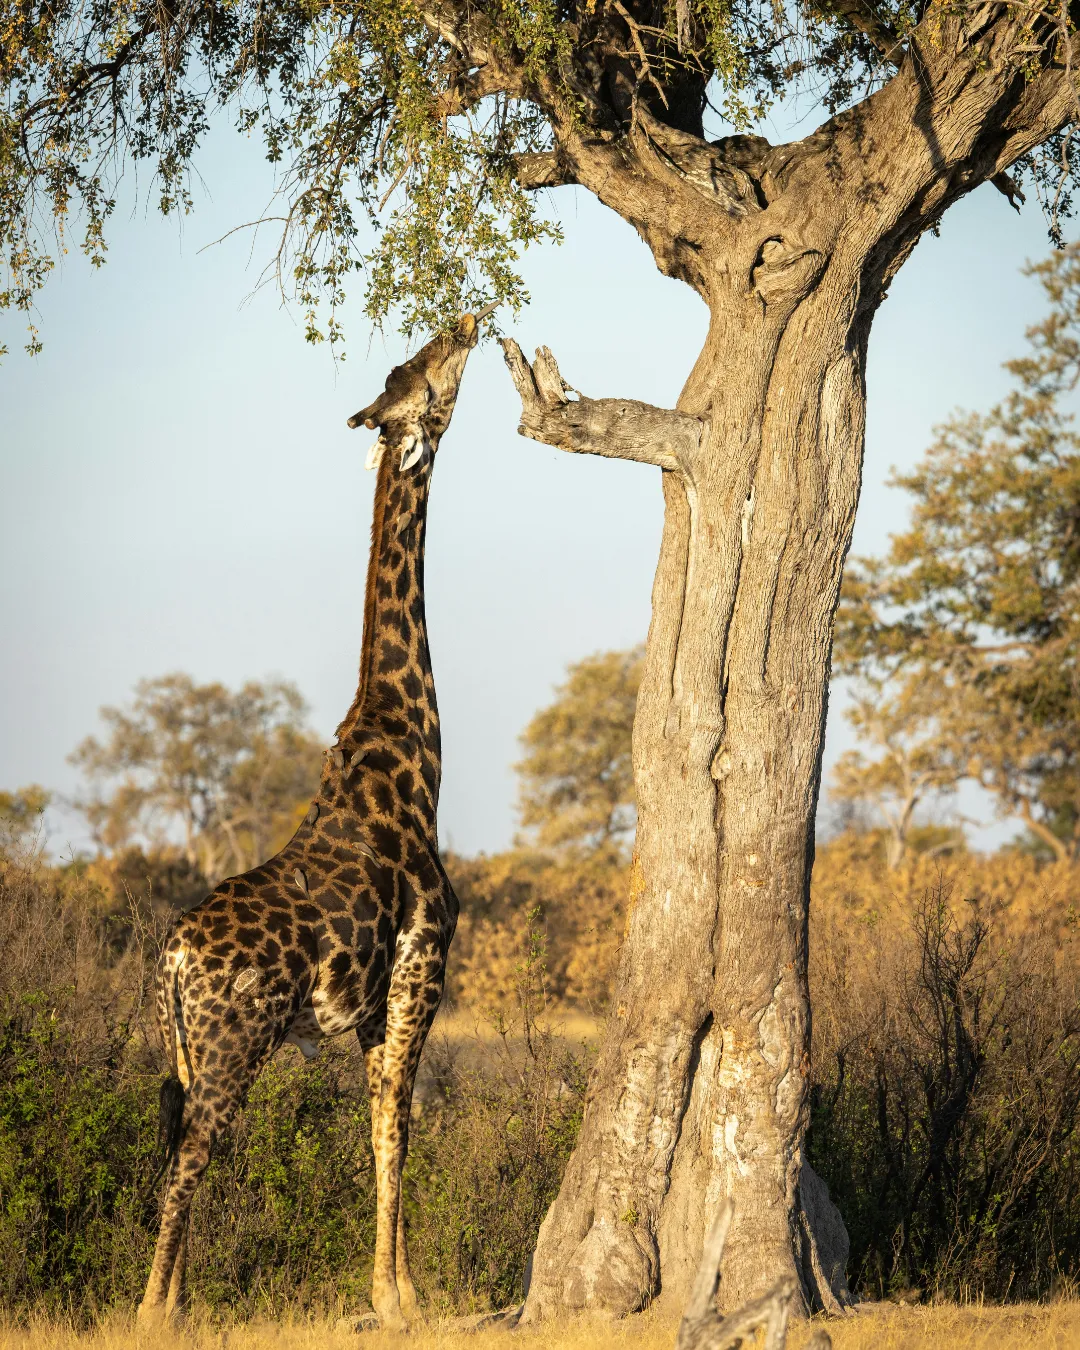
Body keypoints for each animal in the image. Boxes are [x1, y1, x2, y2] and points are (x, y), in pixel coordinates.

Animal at [137, 310, 488, 1332]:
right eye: (425, 377)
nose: (466, 319)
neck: (416, 756)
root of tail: (170, 963)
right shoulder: (419, 974)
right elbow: (396, 1129)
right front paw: (397, 1299)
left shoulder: (372, 1010)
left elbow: (383, 1129)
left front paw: (397, 1290)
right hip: (232, 1044)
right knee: (184, 1163)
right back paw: (153, 1314)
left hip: (190, 1052)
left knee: (179, 1148)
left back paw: (177, 1304)